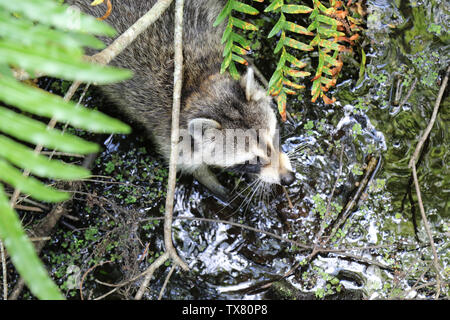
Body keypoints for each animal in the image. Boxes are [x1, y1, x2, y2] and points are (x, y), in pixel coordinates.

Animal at [66, 0, 296, 200]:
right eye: (252, 160)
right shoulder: (170, 134)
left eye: (273, 136)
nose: (288, 179)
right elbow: (189, 165)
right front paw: (216, 185)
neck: (197, 87)